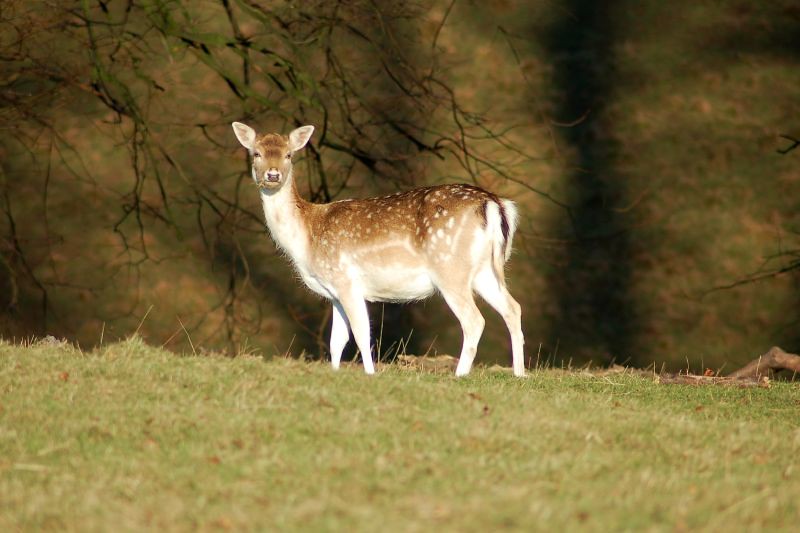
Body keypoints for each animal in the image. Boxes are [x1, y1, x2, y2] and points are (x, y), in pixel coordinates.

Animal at [232, 122, 525, 377]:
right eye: (256, 153)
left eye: (289, 155)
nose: (272, 174)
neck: (306, 237)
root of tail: (494, 204)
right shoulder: (334, 293)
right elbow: (337, 341)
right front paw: (336, 373)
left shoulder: (345, 279)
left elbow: (362, 334)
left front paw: (370, 374)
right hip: (484, 271)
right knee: (513, 308)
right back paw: (519, 375)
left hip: (450, 268)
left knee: (474, 320)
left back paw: (460, 375)